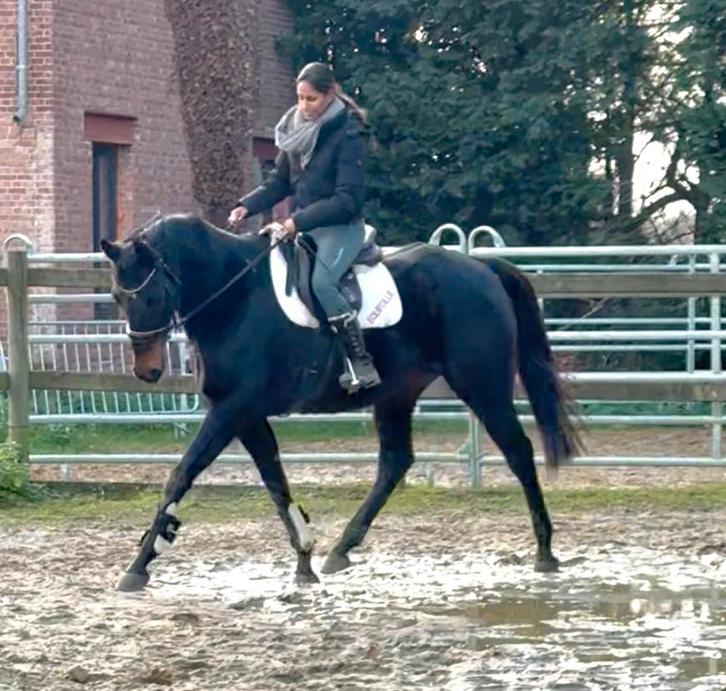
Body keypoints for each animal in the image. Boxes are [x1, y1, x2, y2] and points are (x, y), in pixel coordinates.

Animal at [101, 214, 581, 591]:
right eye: (118, 297)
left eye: (151, 296)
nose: (146, 371)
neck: (234, 297)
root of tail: (480, 267)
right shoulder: (247, 415)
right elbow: (276, 484)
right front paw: (304, 560)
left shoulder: (231, 410)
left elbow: (180, 475)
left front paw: (138, 566)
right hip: (396, 394)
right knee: (395, 462)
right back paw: (341, 549)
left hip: (482, 385)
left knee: (518, 451)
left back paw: (545, 551)